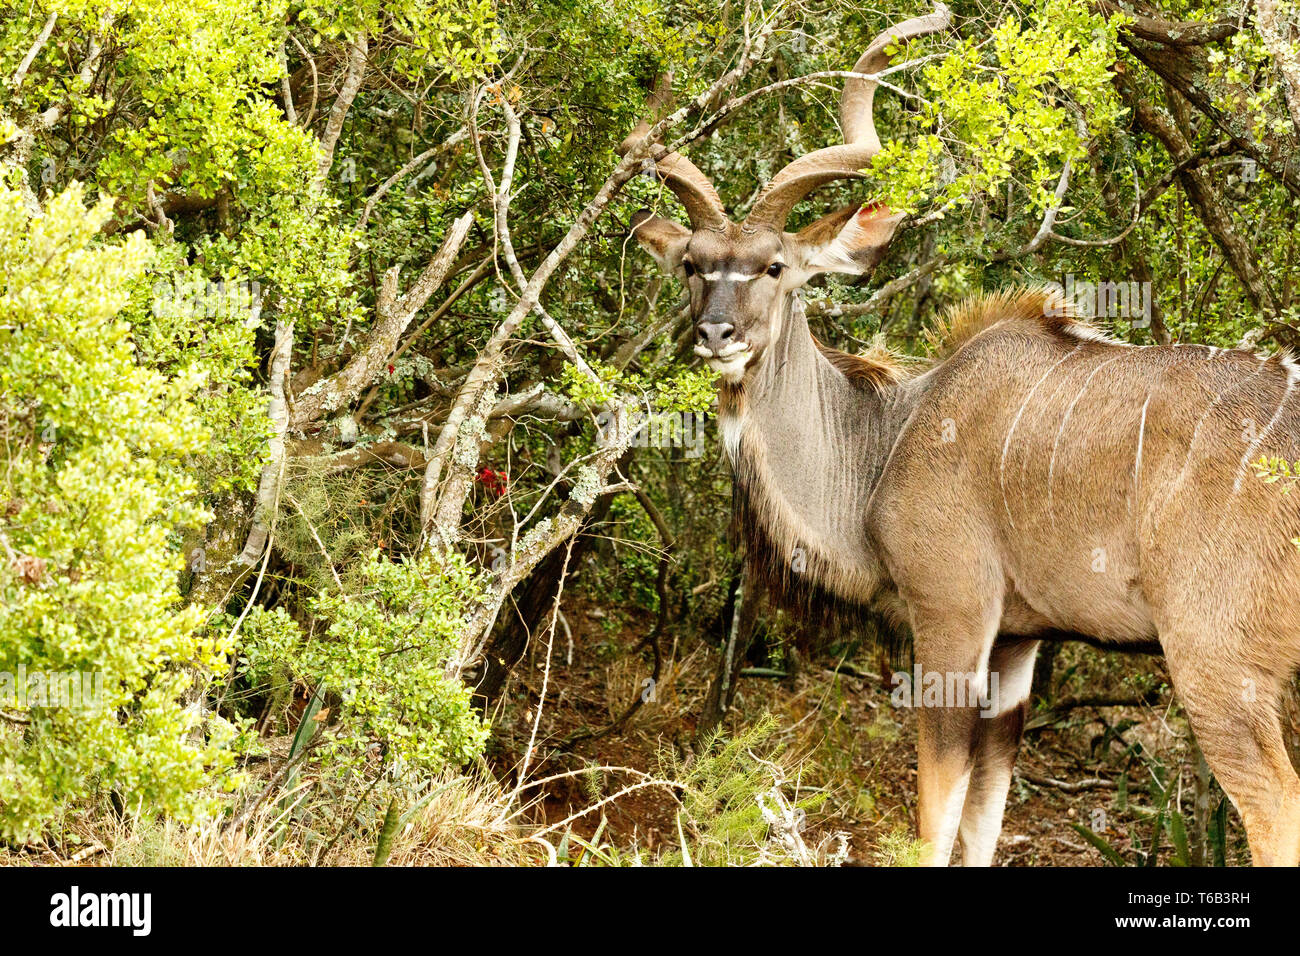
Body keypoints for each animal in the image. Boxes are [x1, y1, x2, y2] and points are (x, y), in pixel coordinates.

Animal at [618, 1, 1300, 868]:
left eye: (774, 268)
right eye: (692, 266)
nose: (715, 334)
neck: (891, 433)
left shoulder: (951, 615)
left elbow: (933, 818)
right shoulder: (1018, 645)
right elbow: (983, 820)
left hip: (1217, 664)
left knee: (1276, 809)